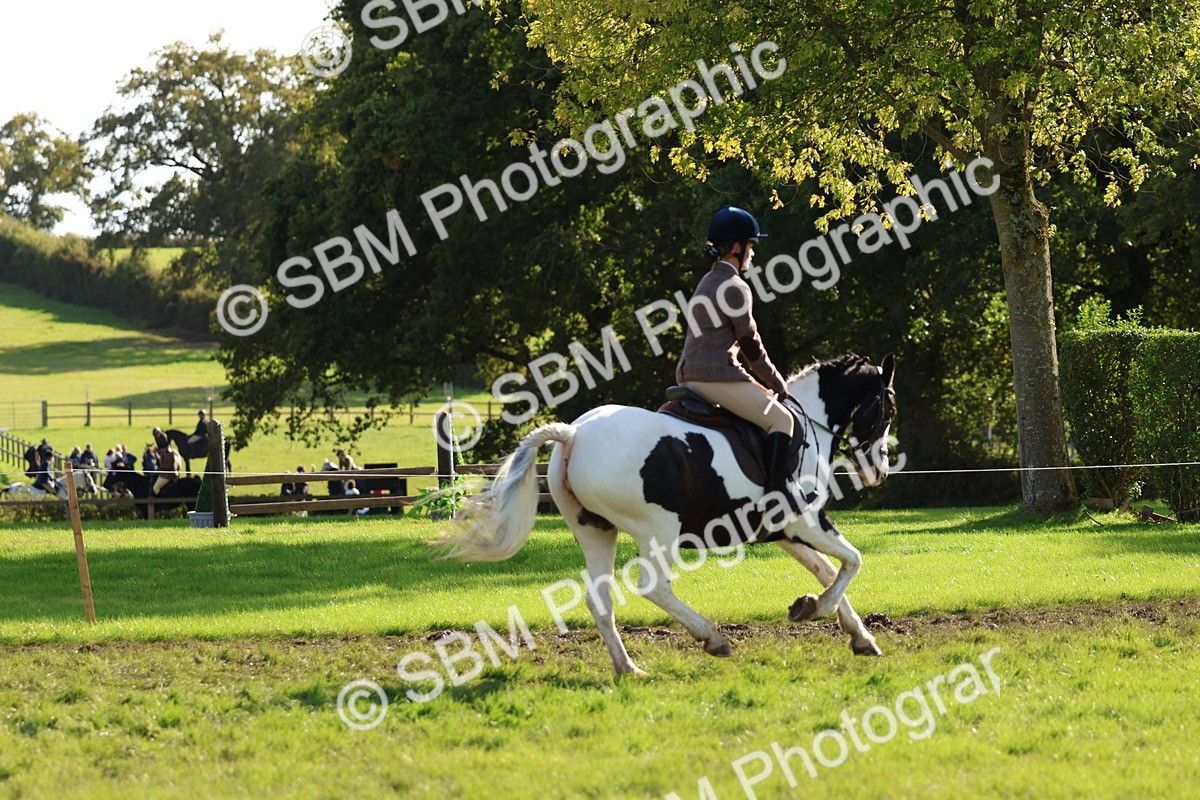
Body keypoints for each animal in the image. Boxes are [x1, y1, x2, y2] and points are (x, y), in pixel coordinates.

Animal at [440, 353, 897, 676]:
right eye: (888, 411)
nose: (880, 472)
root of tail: (574, 434)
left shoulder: (786, 532)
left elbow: (828, 571)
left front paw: (858, 636)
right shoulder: (806, 522)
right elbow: (853, 561)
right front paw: (815, 609)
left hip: (595, 532)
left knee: (600, 600)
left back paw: (628, 668)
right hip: (659, 530)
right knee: (653, 587)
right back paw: (712, 638)